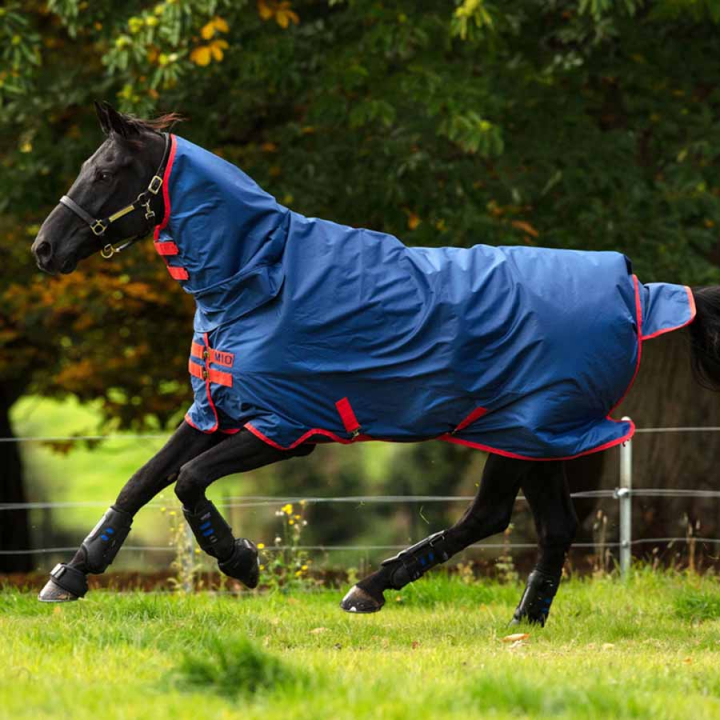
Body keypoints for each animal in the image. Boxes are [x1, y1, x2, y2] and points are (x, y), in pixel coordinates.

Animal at [31, 103, 720, 625]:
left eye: (108, 170)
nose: (43, 248)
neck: (260, 279)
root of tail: (637, 291)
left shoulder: (286, 428)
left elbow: (189, 481)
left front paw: (240, 560)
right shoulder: (216, 411)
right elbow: (142, 481)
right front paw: (72, 573)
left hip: (528, 429)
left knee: (505, 518)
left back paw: (378, 589)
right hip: (530, 436)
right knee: (539, 523)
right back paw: (517, 618)